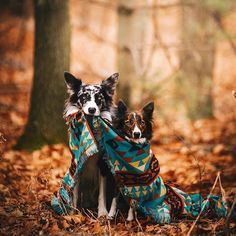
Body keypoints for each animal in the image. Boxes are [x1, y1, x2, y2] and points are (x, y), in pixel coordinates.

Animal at [63, 72, 119, 218]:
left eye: (99, 98)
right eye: (84, 97)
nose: (92, 109)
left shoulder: (103, 164)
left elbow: (102, 194)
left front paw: (102, 213)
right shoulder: (77, 162)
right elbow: (75, 191)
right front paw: (73, 212)